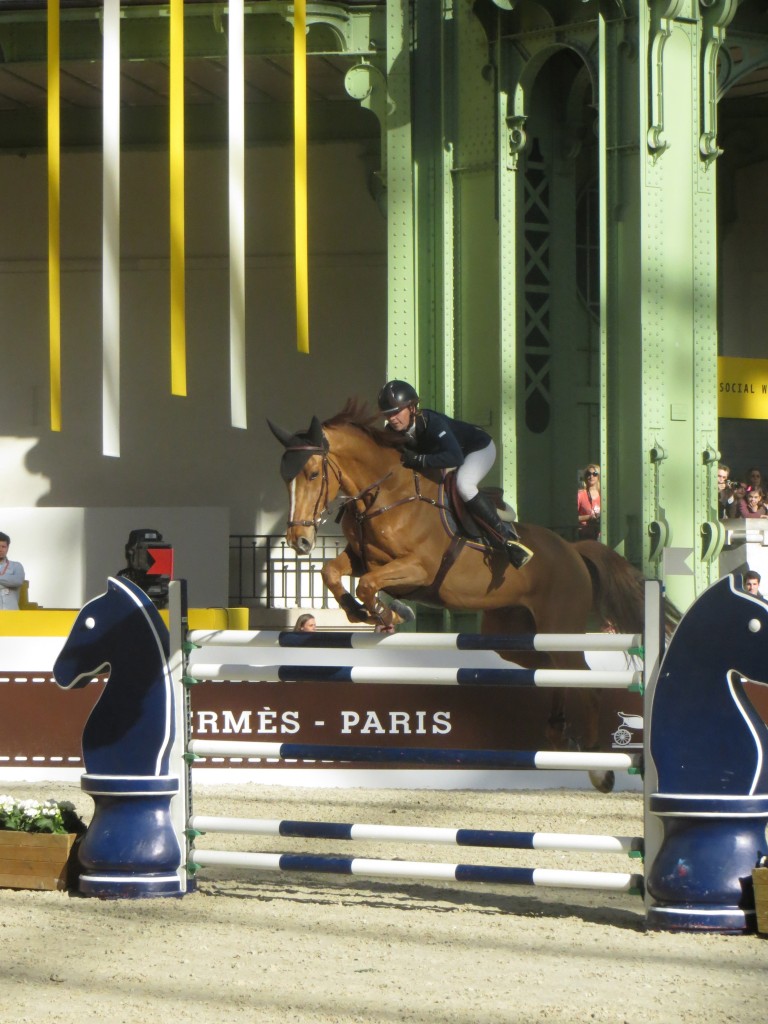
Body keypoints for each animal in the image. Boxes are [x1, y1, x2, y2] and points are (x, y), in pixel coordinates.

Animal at [268, 399, 651, 790]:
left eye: (313, 473)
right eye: (284, 477)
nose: (299, 541)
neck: (385, 495)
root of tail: (573, 550)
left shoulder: (417, 568)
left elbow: (367, 585)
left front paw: (388, 613)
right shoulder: (362, 559)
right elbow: (332, 572)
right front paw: (365, 613)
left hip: (560, 627)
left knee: (586, 682)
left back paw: (599, 767)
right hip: (513, 636)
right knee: (553, 671)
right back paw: (560, 735)